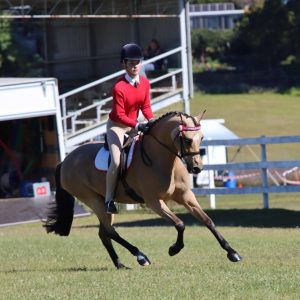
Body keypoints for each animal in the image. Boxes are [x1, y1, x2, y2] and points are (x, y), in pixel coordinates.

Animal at [44, 111, 241, 268]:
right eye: (187, 139)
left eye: (202, 138)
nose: (197, 168)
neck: (163, 159)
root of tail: (66, 160)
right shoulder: (154, 202)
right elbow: (180, 224)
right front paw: (174, 249)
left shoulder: (186, 196)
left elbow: (208, 221)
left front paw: (232, 252)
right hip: (93, 200)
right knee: (110, 231)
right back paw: (140, 256)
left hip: (103, 203)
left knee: (104, 233)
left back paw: (120, 264)